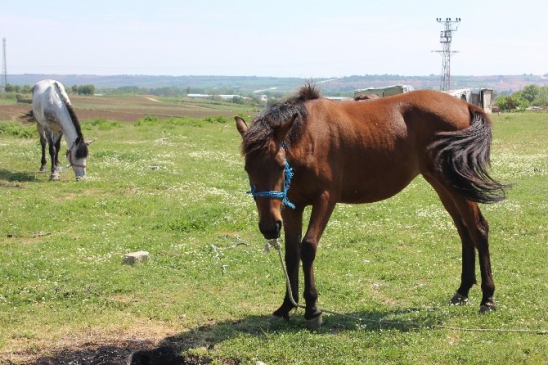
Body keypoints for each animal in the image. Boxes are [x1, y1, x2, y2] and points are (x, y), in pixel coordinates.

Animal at [235, 84, 510, 328]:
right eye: (247, 168)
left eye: (281, 165)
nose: (269, 227)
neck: (309, 135)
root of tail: (465, 104)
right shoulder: (293, 206)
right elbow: (292, 254)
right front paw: (285, 307)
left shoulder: (325, 199)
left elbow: (308, 248)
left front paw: (312, 309)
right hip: (442, 183)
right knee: (464, 230)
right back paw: (463, 290)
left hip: (453, 184)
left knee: (478, 229)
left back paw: (487, 298)